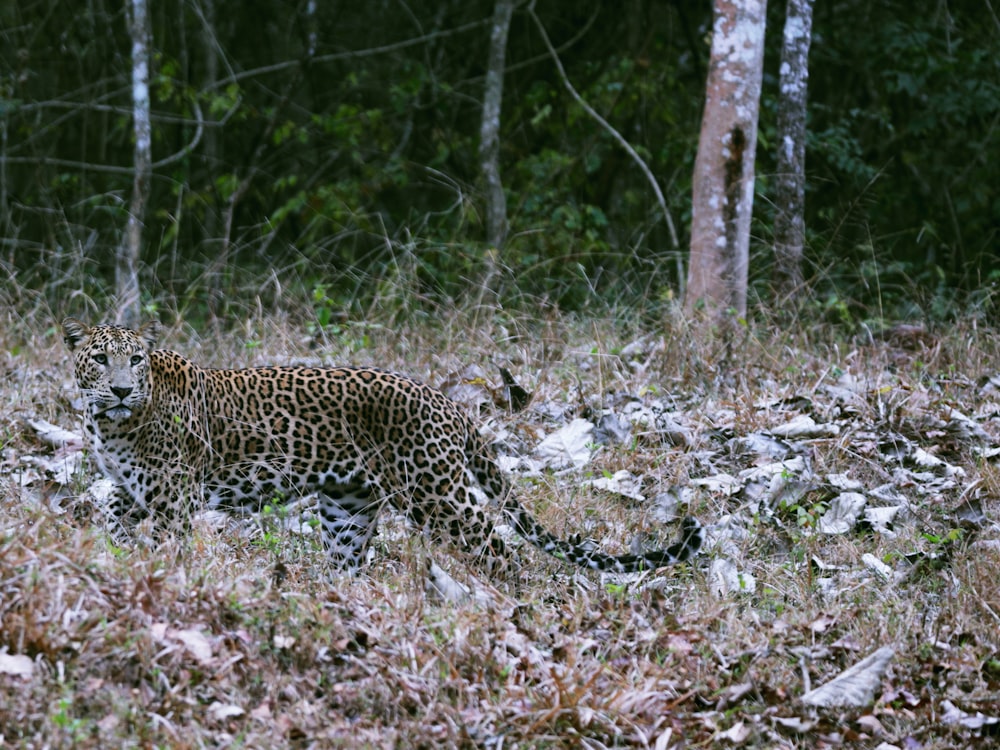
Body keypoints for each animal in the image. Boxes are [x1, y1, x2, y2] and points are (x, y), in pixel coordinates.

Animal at [62, 318, 704, 576]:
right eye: (101, 360)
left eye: (135, 361)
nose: (120, 389)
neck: (112, 424)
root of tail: (447, 401)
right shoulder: (130, 490)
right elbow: (113, 521)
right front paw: (114, 559)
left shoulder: (173, 496)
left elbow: (169, 549)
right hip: (348, 507)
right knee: (349, 562)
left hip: (436, 494)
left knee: (502, 551)